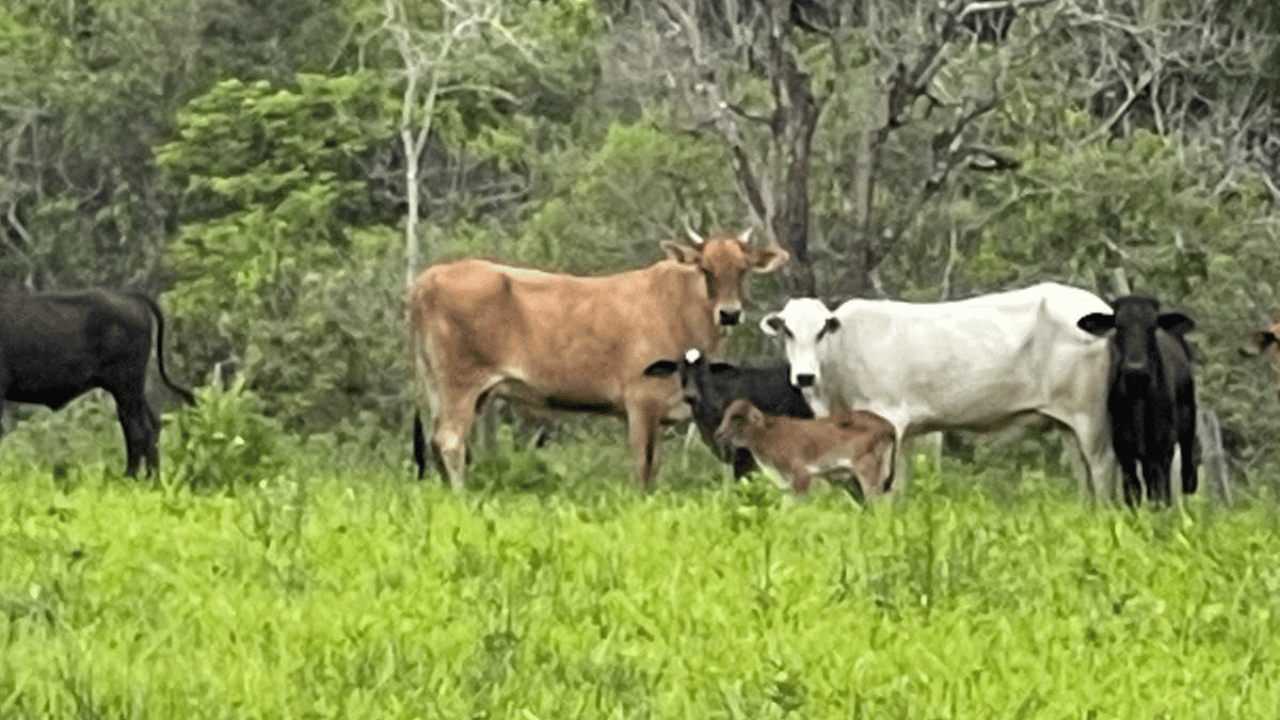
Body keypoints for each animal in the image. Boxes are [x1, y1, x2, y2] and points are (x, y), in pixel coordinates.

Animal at [0, 288, 194, 474]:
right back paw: (152, 478)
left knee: (139, 431)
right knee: (149, 425)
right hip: (133, 390)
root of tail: (128, 296)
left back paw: (130, 477)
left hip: (125, 387)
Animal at [716, 397, 896, 499]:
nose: (718, 434)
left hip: (867, 469)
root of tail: (888, 426)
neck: (768, 436)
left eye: (737, 417)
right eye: (725, 415)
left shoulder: (801, 475)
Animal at [762, 283, 1116, 497]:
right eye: (787, 331)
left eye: (822, 330)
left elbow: (885, 488)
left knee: (1102, 466)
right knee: (1082, 472)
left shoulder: (889, 422)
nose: (805, 376)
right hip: (1065, 422)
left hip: (1089, 416)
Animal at [1080, 294, 1198, 502]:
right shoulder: (1122, 447)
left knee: (1185, 469)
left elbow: (1161, 492)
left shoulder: (1163, 445)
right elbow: (1132, 491)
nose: (1136, 369)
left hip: (1188, 424)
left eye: (1152, 327)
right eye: (1118, 326)